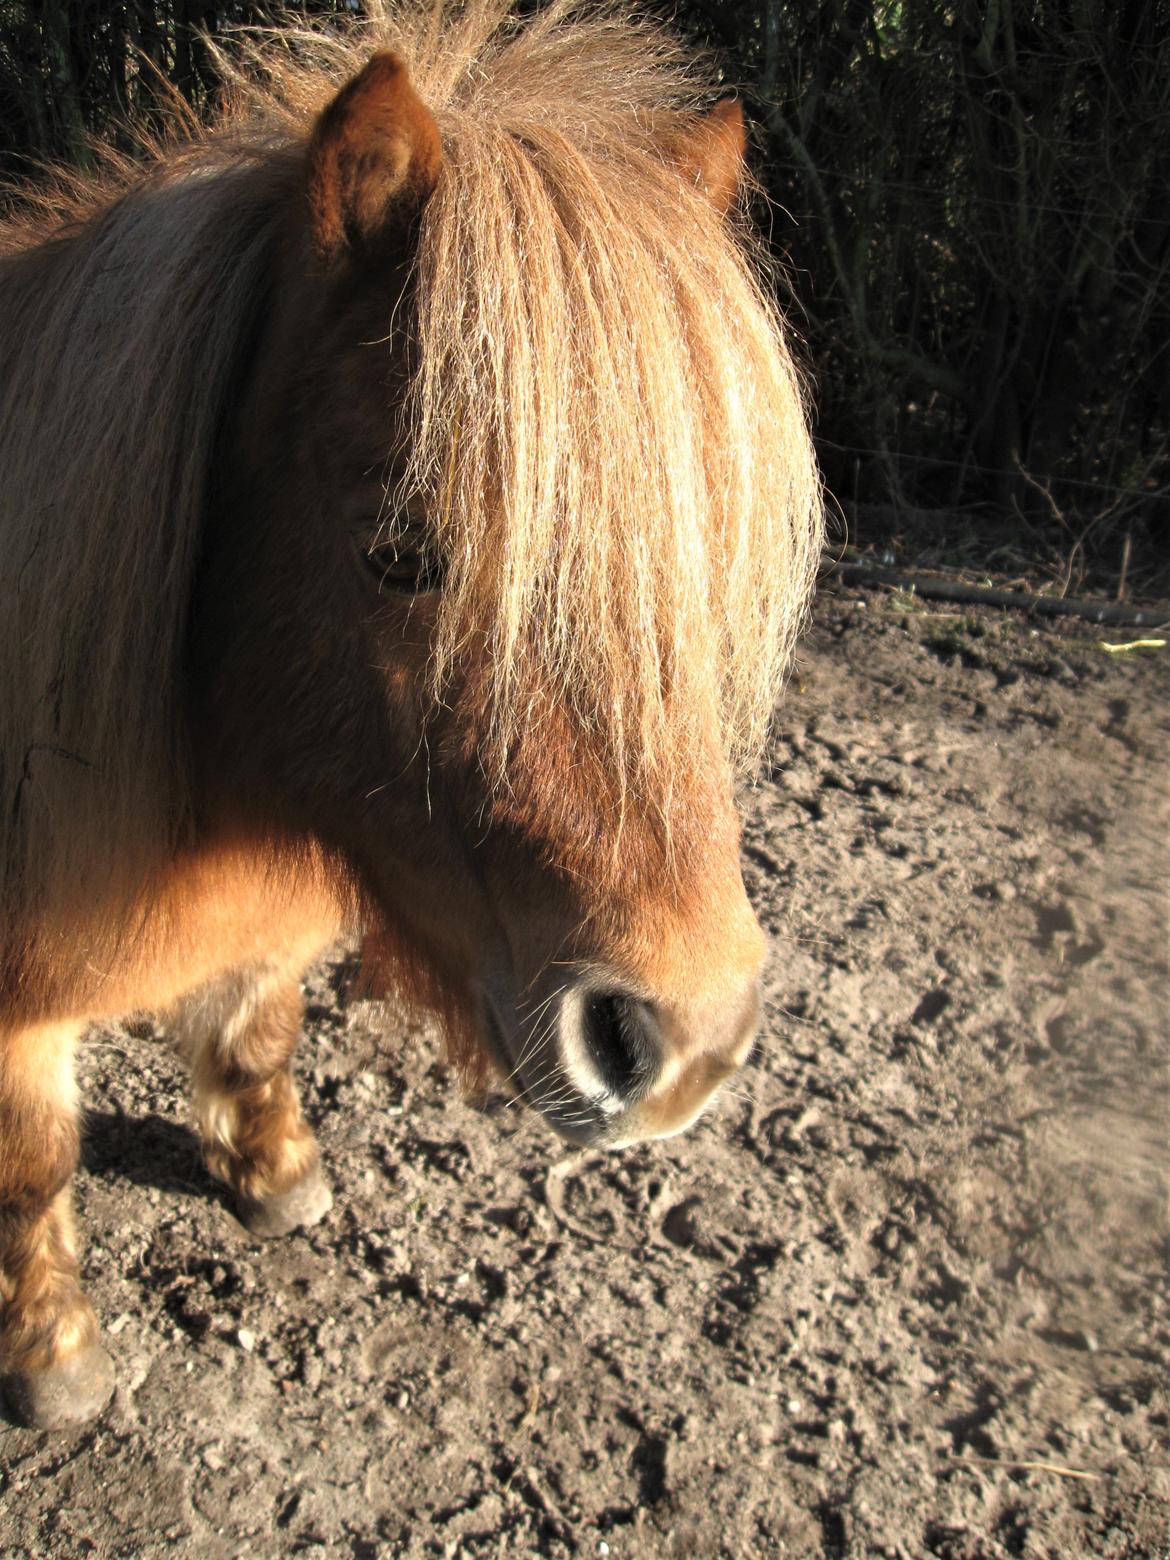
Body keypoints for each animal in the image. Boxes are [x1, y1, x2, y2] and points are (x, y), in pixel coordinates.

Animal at [0, 0, 823, 1428]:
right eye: (398, 553)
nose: (687, 1044)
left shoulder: (282, 908)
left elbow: (258, 1024)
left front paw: (275, 1176)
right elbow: (35, 1161)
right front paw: (52, 1354)